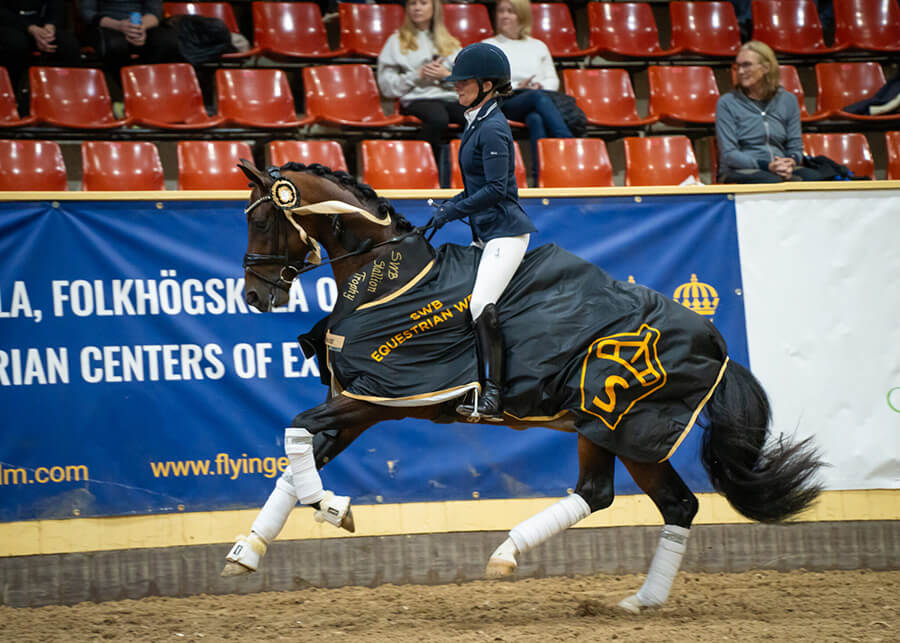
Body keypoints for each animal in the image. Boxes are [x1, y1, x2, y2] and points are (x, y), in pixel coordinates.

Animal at [222, 160, 823, 613]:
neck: (385, 281)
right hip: (616, 430)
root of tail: (714, 344)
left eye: (262, 220)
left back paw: (509, 554)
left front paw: (333, 507)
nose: (254, 294)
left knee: (619, 496)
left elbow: (296, 433)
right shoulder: (364, 402)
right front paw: (249, 551)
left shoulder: (381, 397)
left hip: (619, 421)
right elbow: (295, 458)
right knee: (657, 502)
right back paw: (638, 600)